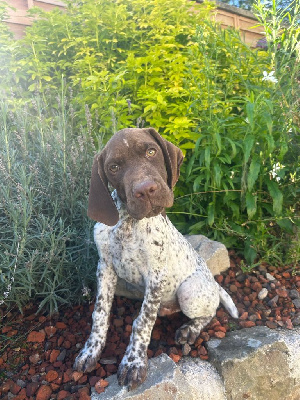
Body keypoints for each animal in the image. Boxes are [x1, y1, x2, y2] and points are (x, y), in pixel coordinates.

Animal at [74, 128, 238, 390]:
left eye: (151, 151)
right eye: (113, 167)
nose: (146, 189)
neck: (128, 222)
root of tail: (214, 283)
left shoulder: (156, 276)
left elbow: (142, 321)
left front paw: (133, 362)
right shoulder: (105, 268)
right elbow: (99, 314)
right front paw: (91, 351)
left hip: (189, 293)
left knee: (210, 312)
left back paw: (190, 329)